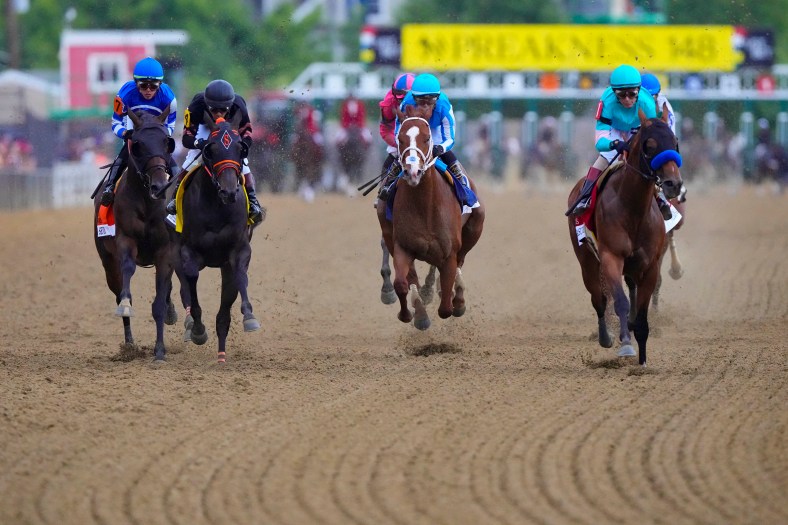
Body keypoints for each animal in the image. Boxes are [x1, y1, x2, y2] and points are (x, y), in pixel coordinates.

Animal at [93, 107, 178, 360]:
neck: (147, 202)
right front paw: (125, 305)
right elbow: (127, 273)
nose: (159, 186)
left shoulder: (166, 250)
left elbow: (160, 300)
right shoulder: (125, 240)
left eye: (166, 142)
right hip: (107, 262)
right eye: (138, 144)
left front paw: (159, 350)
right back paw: (129, 344)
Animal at [173, 113, 262, 362]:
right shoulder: (187, 252)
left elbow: (239, 277)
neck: (216, 207)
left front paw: (249, 317)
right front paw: (197, 329)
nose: (229, 191)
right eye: (210, 149)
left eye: (240, 148)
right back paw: (190, 325)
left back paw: (221, 353)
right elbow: (191, 281)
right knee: (184, 288)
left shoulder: (238, 251)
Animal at [378, 104, 484, 330]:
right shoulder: (402, 247)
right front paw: (414, 315)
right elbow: (402, 283)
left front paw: (455, 301)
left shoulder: (449, 252)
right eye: (400, 138)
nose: (413, 172)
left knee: (460, 262)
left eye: (427, 138)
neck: (425, 207)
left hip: (474, 227)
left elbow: (446, 307)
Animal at [568, 109, 684, 364]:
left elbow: (641, 310)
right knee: (599, 299)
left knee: (629, 288)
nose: (673, 184)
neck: (633, 208)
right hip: (586, 259)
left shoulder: (650, 264)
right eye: (650, 145)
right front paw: (627, 345)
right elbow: (620, 301)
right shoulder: (611, 256)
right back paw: (606, 336)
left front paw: (642, 360)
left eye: (675, 142)